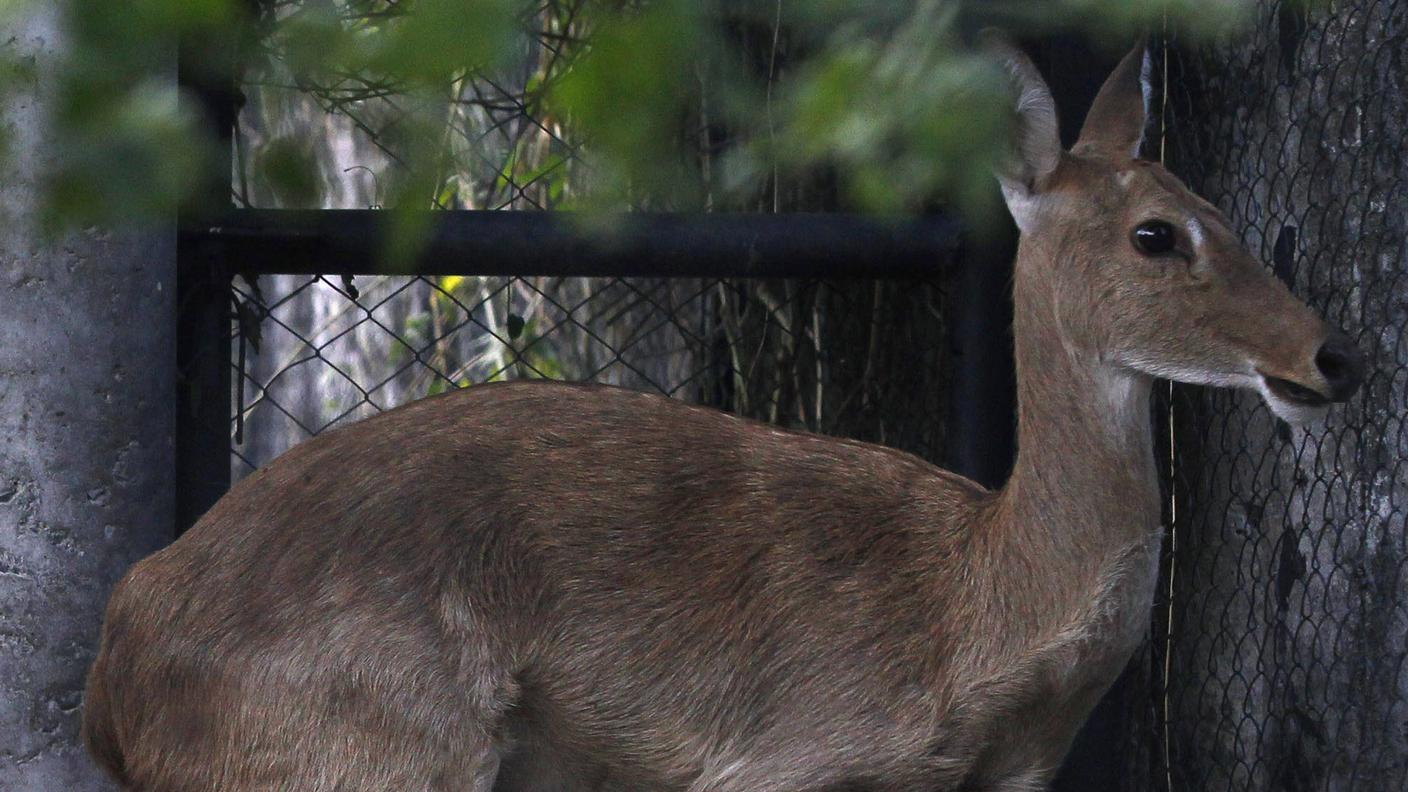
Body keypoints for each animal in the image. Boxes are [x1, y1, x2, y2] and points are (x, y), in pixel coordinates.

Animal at [82, 41, 1357, 789]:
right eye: (1155, 234)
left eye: (1215, 203)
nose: (1329, 354)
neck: (976, 606)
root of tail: (114, 676)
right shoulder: (791, 757)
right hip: (361, 751)